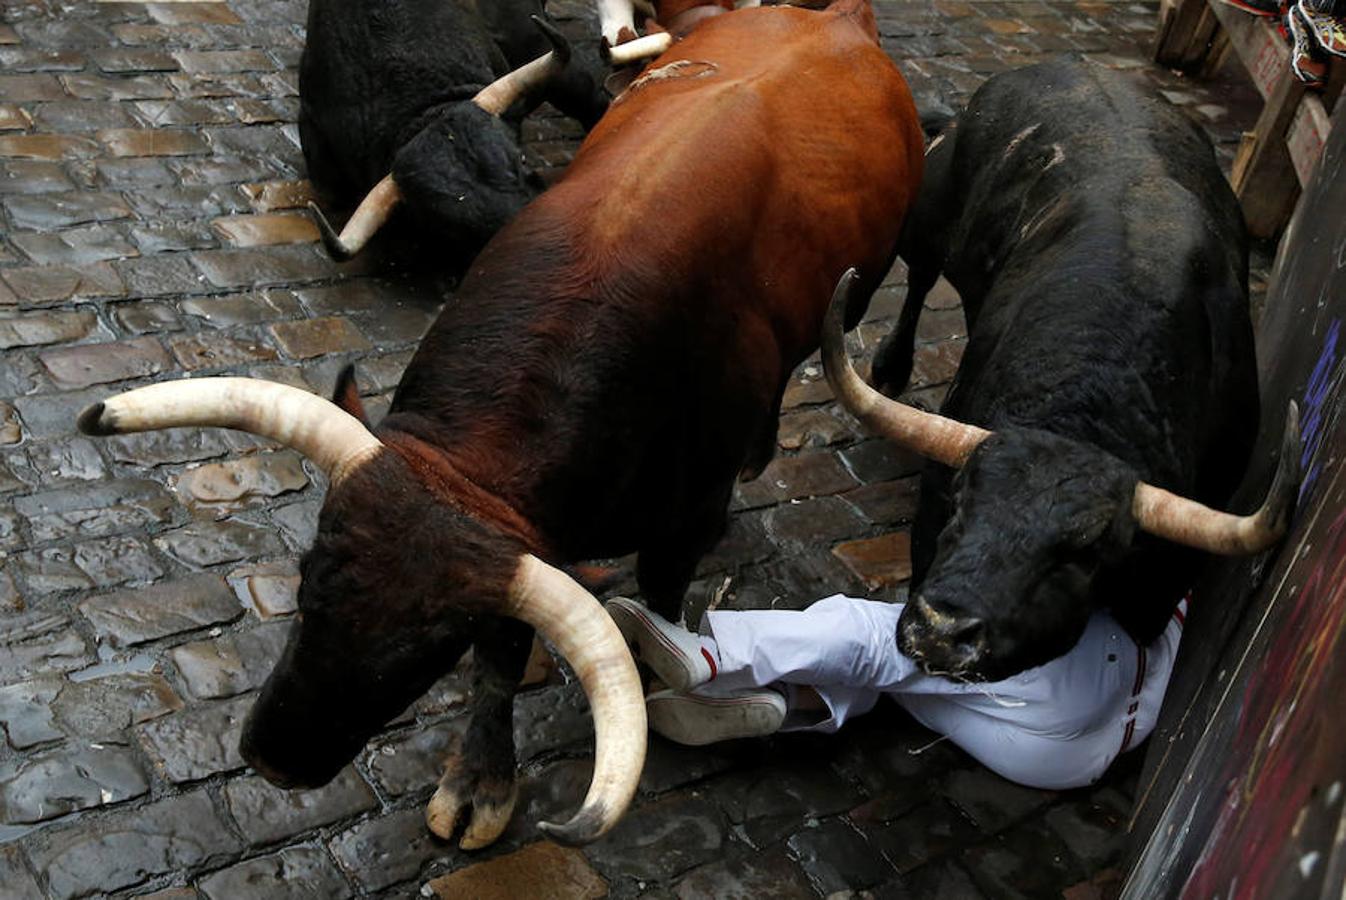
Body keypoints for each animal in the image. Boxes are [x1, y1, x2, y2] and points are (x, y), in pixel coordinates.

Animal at [76, 0, 926, 844]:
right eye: (306, 576)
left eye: (430, 647)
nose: (275, 761)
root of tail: (836, 15)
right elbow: (507, 649)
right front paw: (480, 777)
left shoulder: (683, 525)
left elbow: (656, 593)